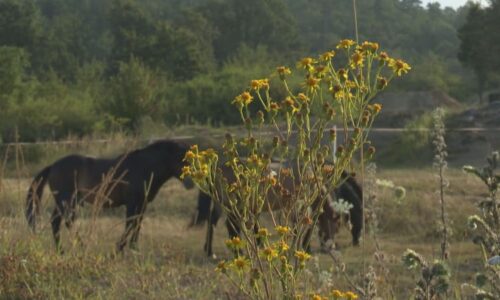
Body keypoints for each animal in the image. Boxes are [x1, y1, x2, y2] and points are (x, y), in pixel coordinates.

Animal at [24, 139, 193, 252]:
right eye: (182, 159)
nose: (191, 183)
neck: (144, 167)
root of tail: (53, 166)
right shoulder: (132, 203)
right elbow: (130, 224)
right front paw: (120, 248)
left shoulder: (142, 204)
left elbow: (137, 224)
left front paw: (134, 247)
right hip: (66, 201)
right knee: (65, 222)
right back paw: (78, 246)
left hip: (65, 201)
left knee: (57, 222)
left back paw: (62, 250)